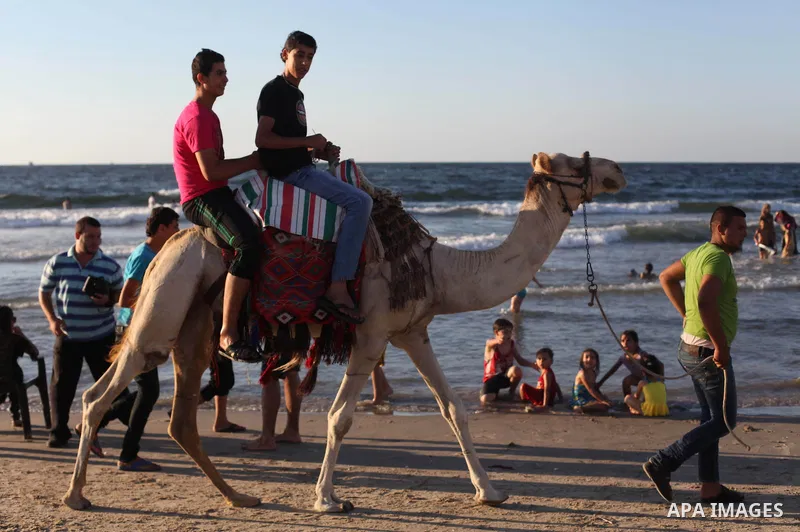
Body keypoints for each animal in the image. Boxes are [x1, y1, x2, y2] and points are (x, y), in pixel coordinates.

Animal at [63, 151, 626, 512]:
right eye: (573, 164)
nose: (618, 169)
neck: (437, 267)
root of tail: (171, 244)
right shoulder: (372, 334)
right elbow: (339, 418)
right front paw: (327, 499)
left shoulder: (413, 332)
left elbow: (454, 410)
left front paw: (491, 492)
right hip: (163, 309)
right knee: (99, 393)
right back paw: (77, 495)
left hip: (194, 331)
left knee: (180, 418)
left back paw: (240, 496)